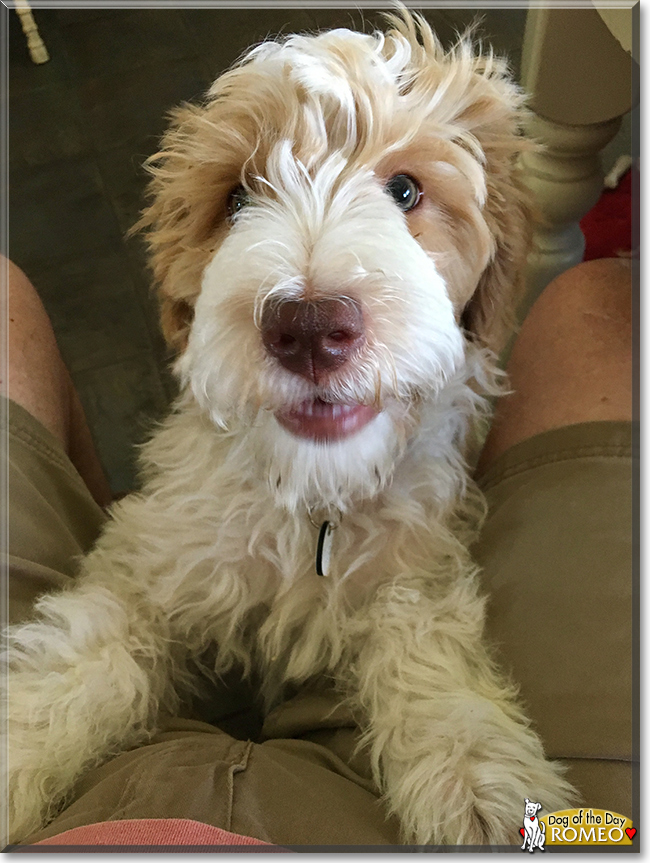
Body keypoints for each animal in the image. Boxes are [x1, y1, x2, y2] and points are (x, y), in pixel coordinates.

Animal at [5, 10, 572, 848]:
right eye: (238, 198)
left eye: (406, 189)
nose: (308, 327)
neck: (314, 496)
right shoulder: (154, 553)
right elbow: (85, 643)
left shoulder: (422, 551)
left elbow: (422, 629)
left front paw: (473, 770)